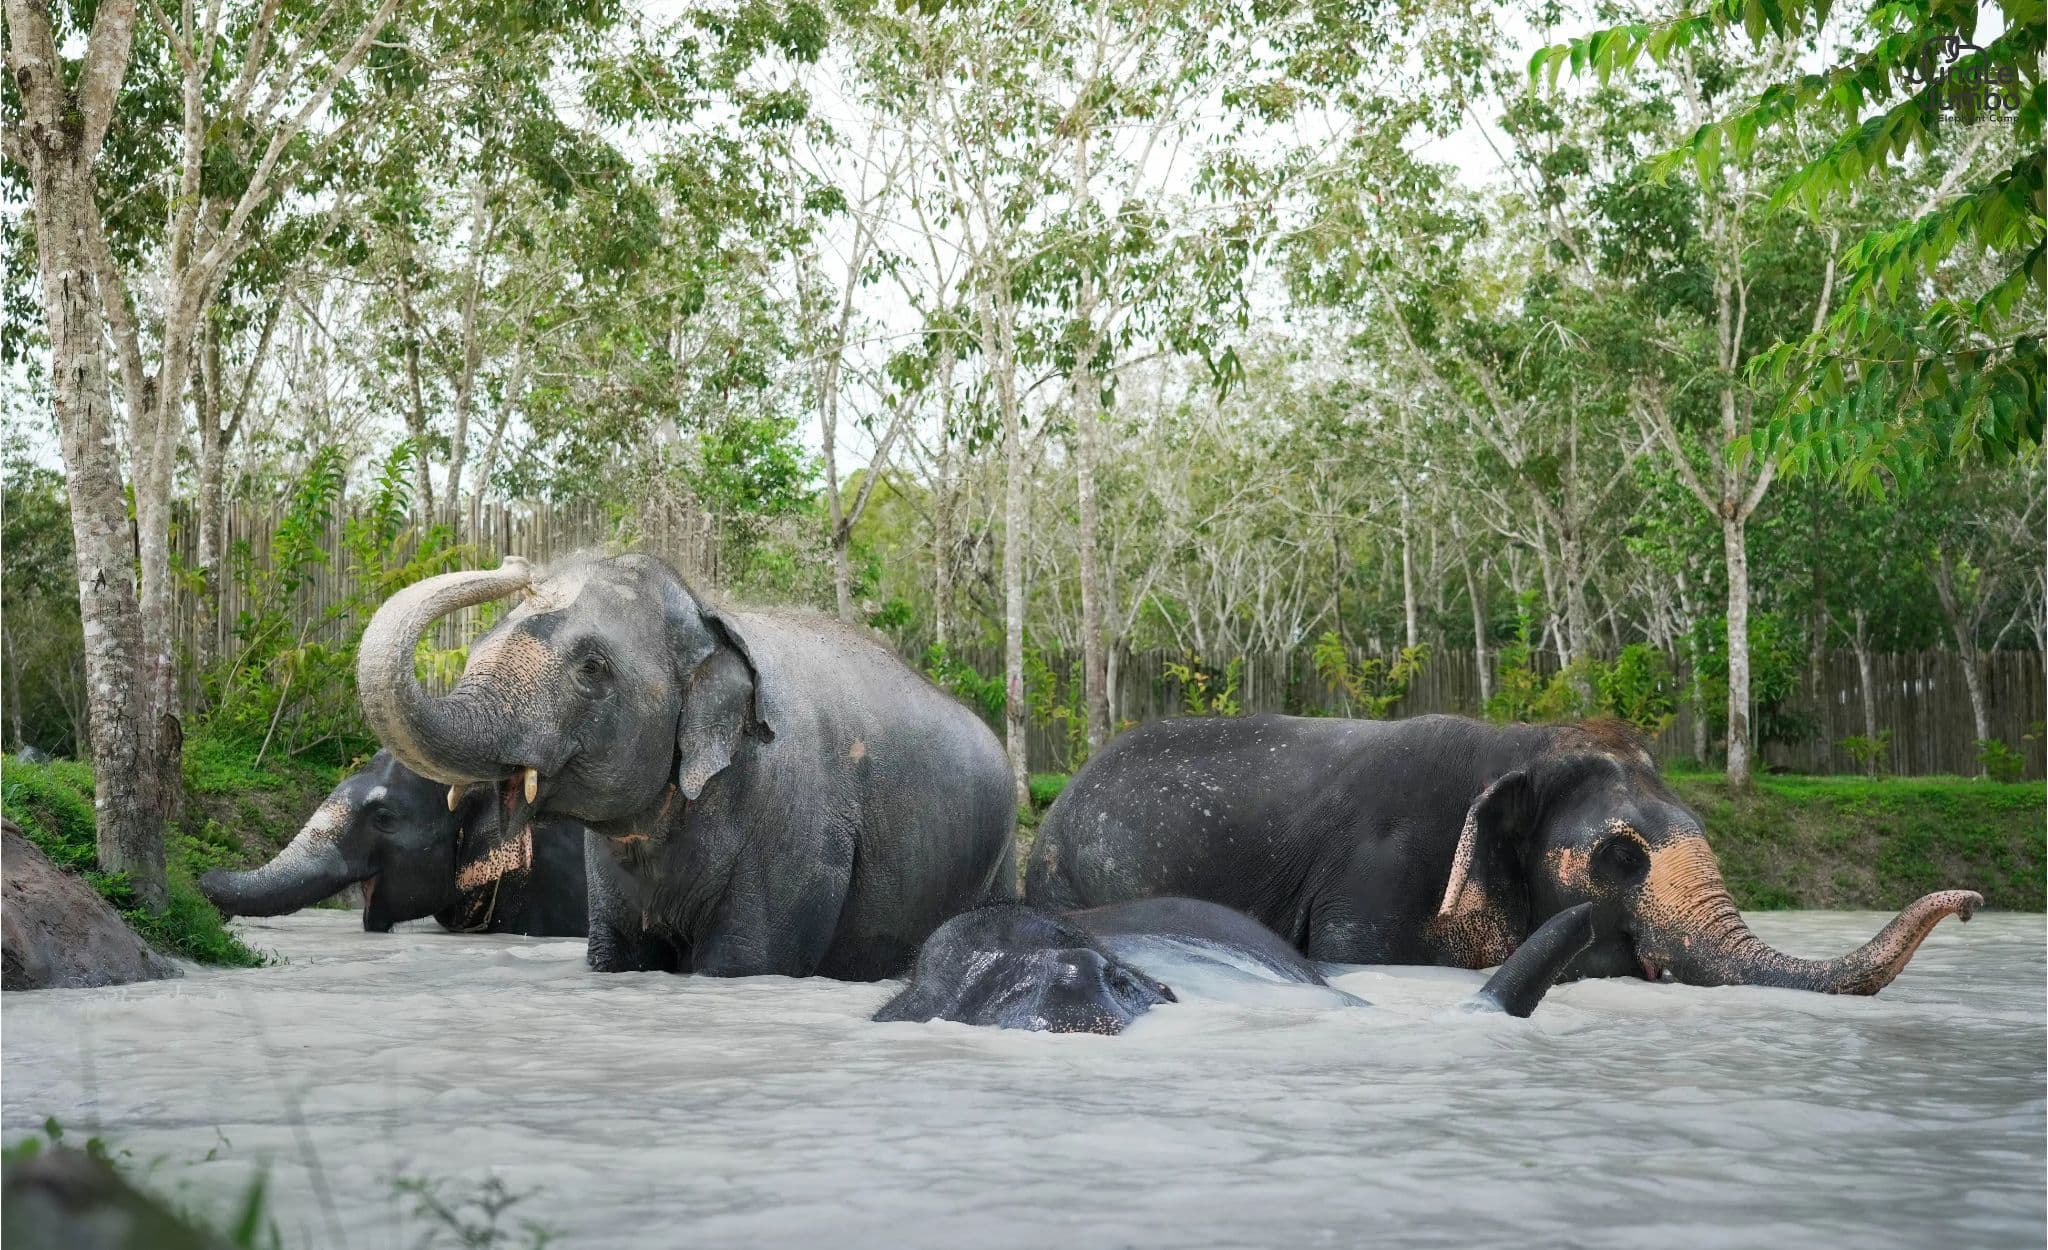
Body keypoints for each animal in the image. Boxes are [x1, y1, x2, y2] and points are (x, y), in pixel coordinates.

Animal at [353, 552, 1017, 979]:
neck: (710, 613)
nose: (516, 563)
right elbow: (616, 956)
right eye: (481, 640)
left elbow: (744, 961)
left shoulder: (799, 834)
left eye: (593, 668)